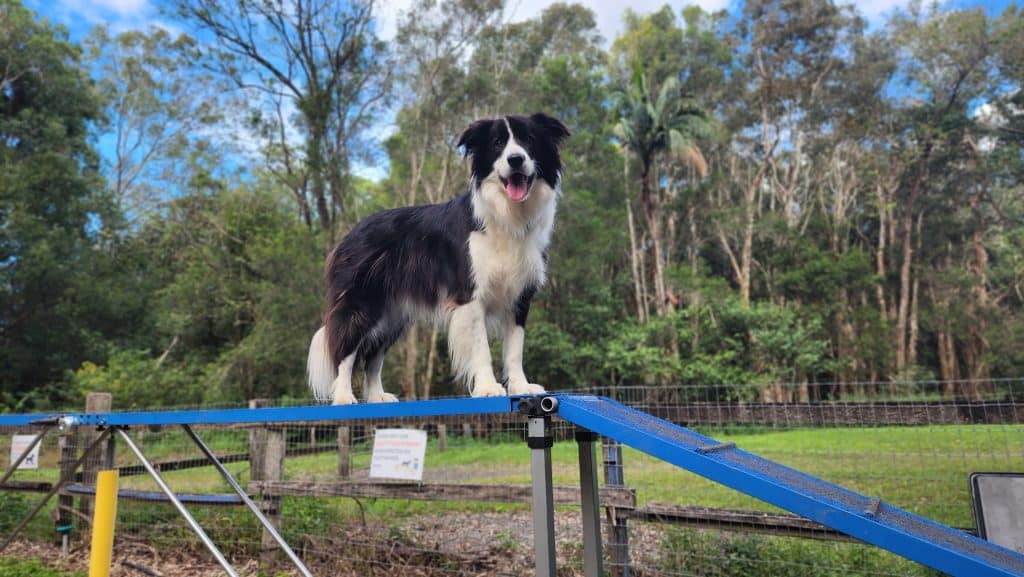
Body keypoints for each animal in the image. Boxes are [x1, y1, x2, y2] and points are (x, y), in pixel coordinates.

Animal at [307, 114, 573, 405]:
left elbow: (515, 347)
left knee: (374, 356)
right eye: (497, 143)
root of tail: (348, 236)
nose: (515, 159)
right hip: (362, 303)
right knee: (346, 349)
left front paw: (521, 386)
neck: (508, 215)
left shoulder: (520, 296)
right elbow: (481, 347)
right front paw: (488, 388)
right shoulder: (470, 294)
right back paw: (343, 396)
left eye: (529, 140)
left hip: (392, 314)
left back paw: (377, 396)